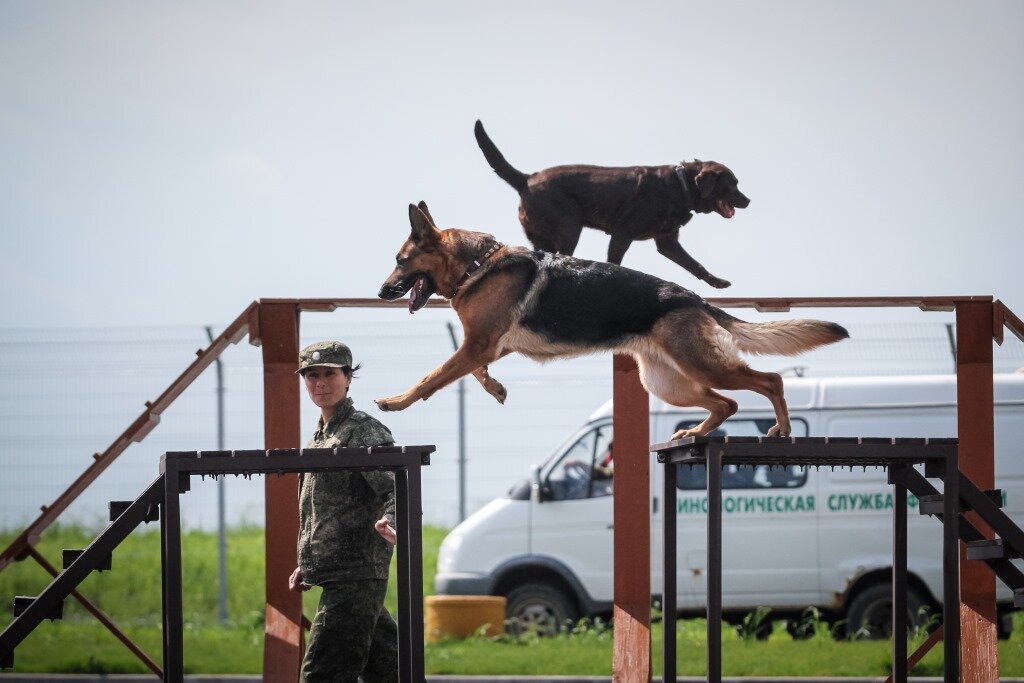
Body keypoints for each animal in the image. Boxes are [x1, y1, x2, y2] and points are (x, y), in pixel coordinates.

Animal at [376, 201, 847, 438]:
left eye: (400, 261)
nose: (380, 293)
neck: (478, 263)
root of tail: (694, 298)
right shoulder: (487, 345)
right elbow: (471, 372)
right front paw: (495, 387)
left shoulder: (478, 344)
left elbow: (433, 376)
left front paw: (397, 401)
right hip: (668, 384)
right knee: (726, 403)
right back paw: (695, 432)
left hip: (704, 367)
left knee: (771, 381)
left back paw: (782, 427)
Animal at [473, 121, 753, 290]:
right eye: (733, 184)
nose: (749, 200)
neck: (680, 185)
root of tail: (526, 179)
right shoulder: (622, 234)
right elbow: (615, 262)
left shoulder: (667, 242)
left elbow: (694, 264)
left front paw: (717, 282)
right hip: (569, 228)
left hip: (544, 236)